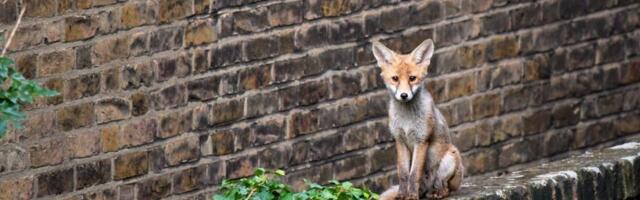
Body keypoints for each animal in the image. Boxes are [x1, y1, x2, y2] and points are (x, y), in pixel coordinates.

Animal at [372, 38, 462, 199]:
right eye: (395, 78)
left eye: (412, 78)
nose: (404, 95)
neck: (407, 120)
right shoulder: (400, 140)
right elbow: (403, 174)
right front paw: (402, 195)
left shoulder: (421, 140)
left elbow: (414, 174)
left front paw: (412, 196)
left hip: (450, 158)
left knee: (444, 187)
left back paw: (436, 193)